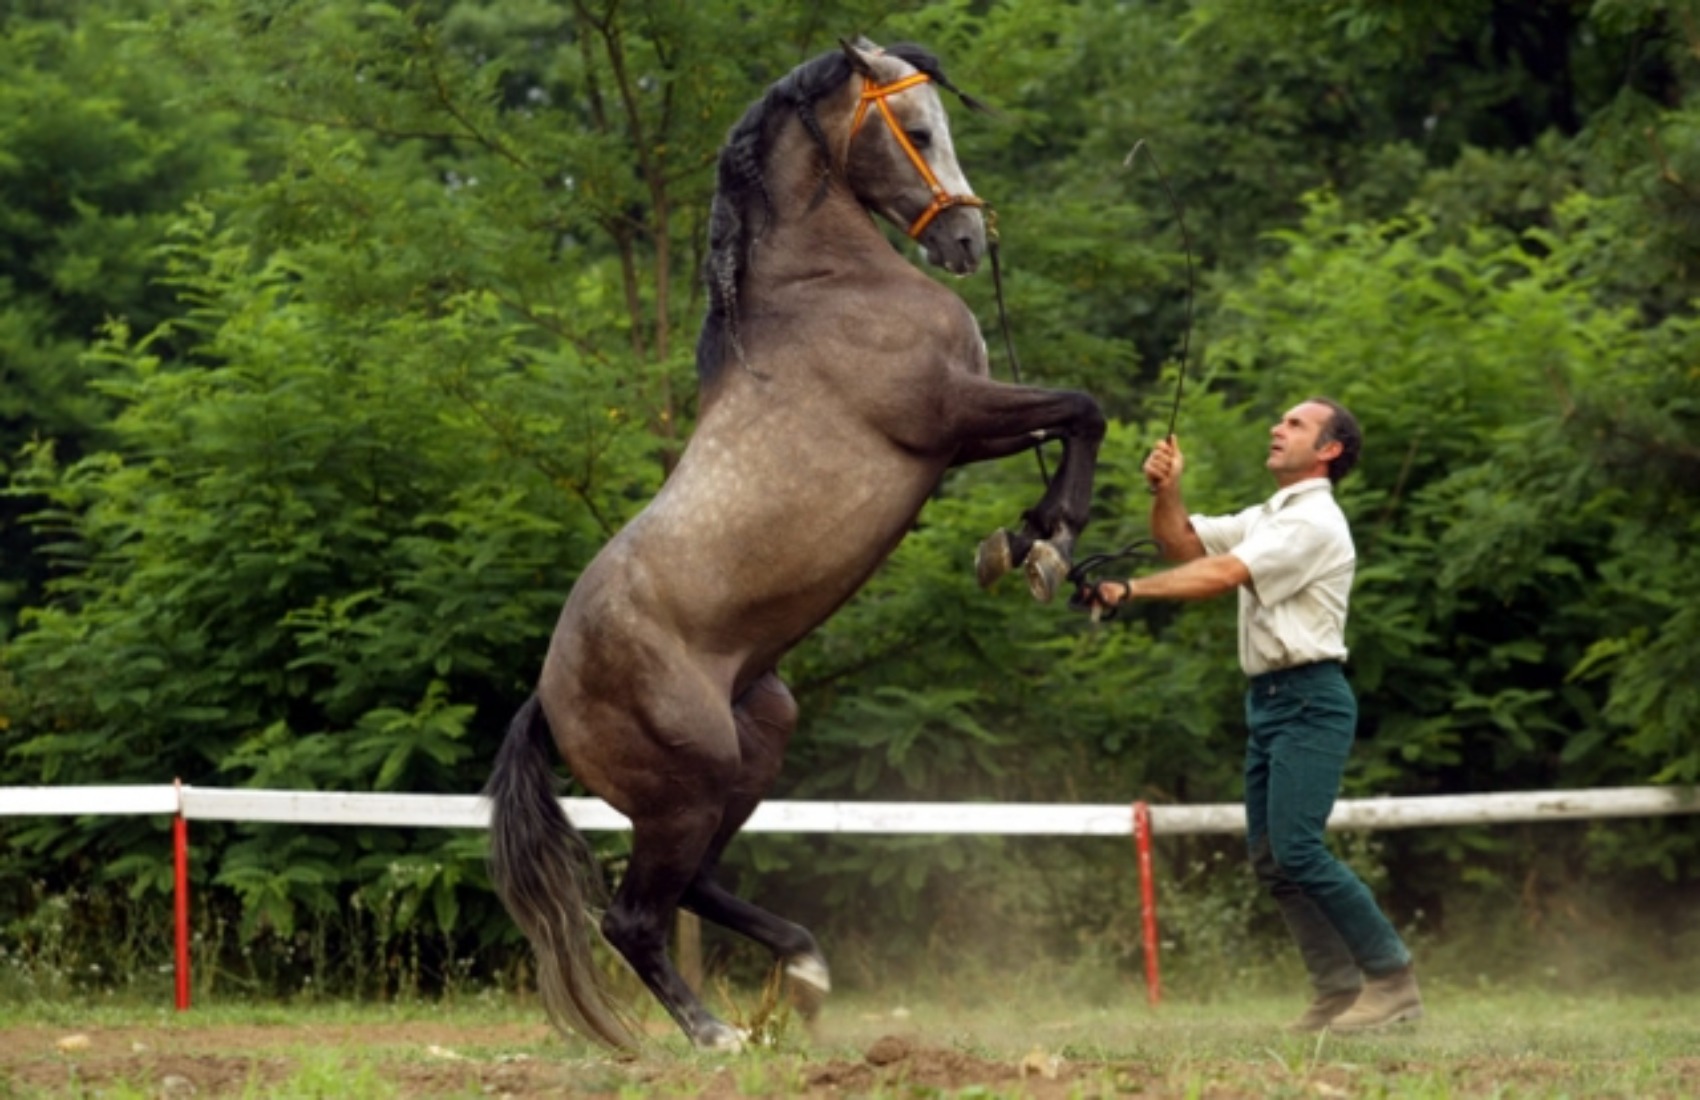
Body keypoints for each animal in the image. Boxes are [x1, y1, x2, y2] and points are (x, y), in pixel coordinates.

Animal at [485, 36, 1105, 1052]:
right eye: (919, 128)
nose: (968, 243)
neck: (824, 287)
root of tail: (549, 697)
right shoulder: (947, 415)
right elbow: (1085, 406)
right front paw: (1046, 547)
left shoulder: (961, 437)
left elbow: (1069, 421)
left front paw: (1026, 541)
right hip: (687, 784)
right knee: (633, 918)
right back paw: (718, 1035)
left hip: (753, 745)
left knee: (695, 884)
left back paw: (804, 973)